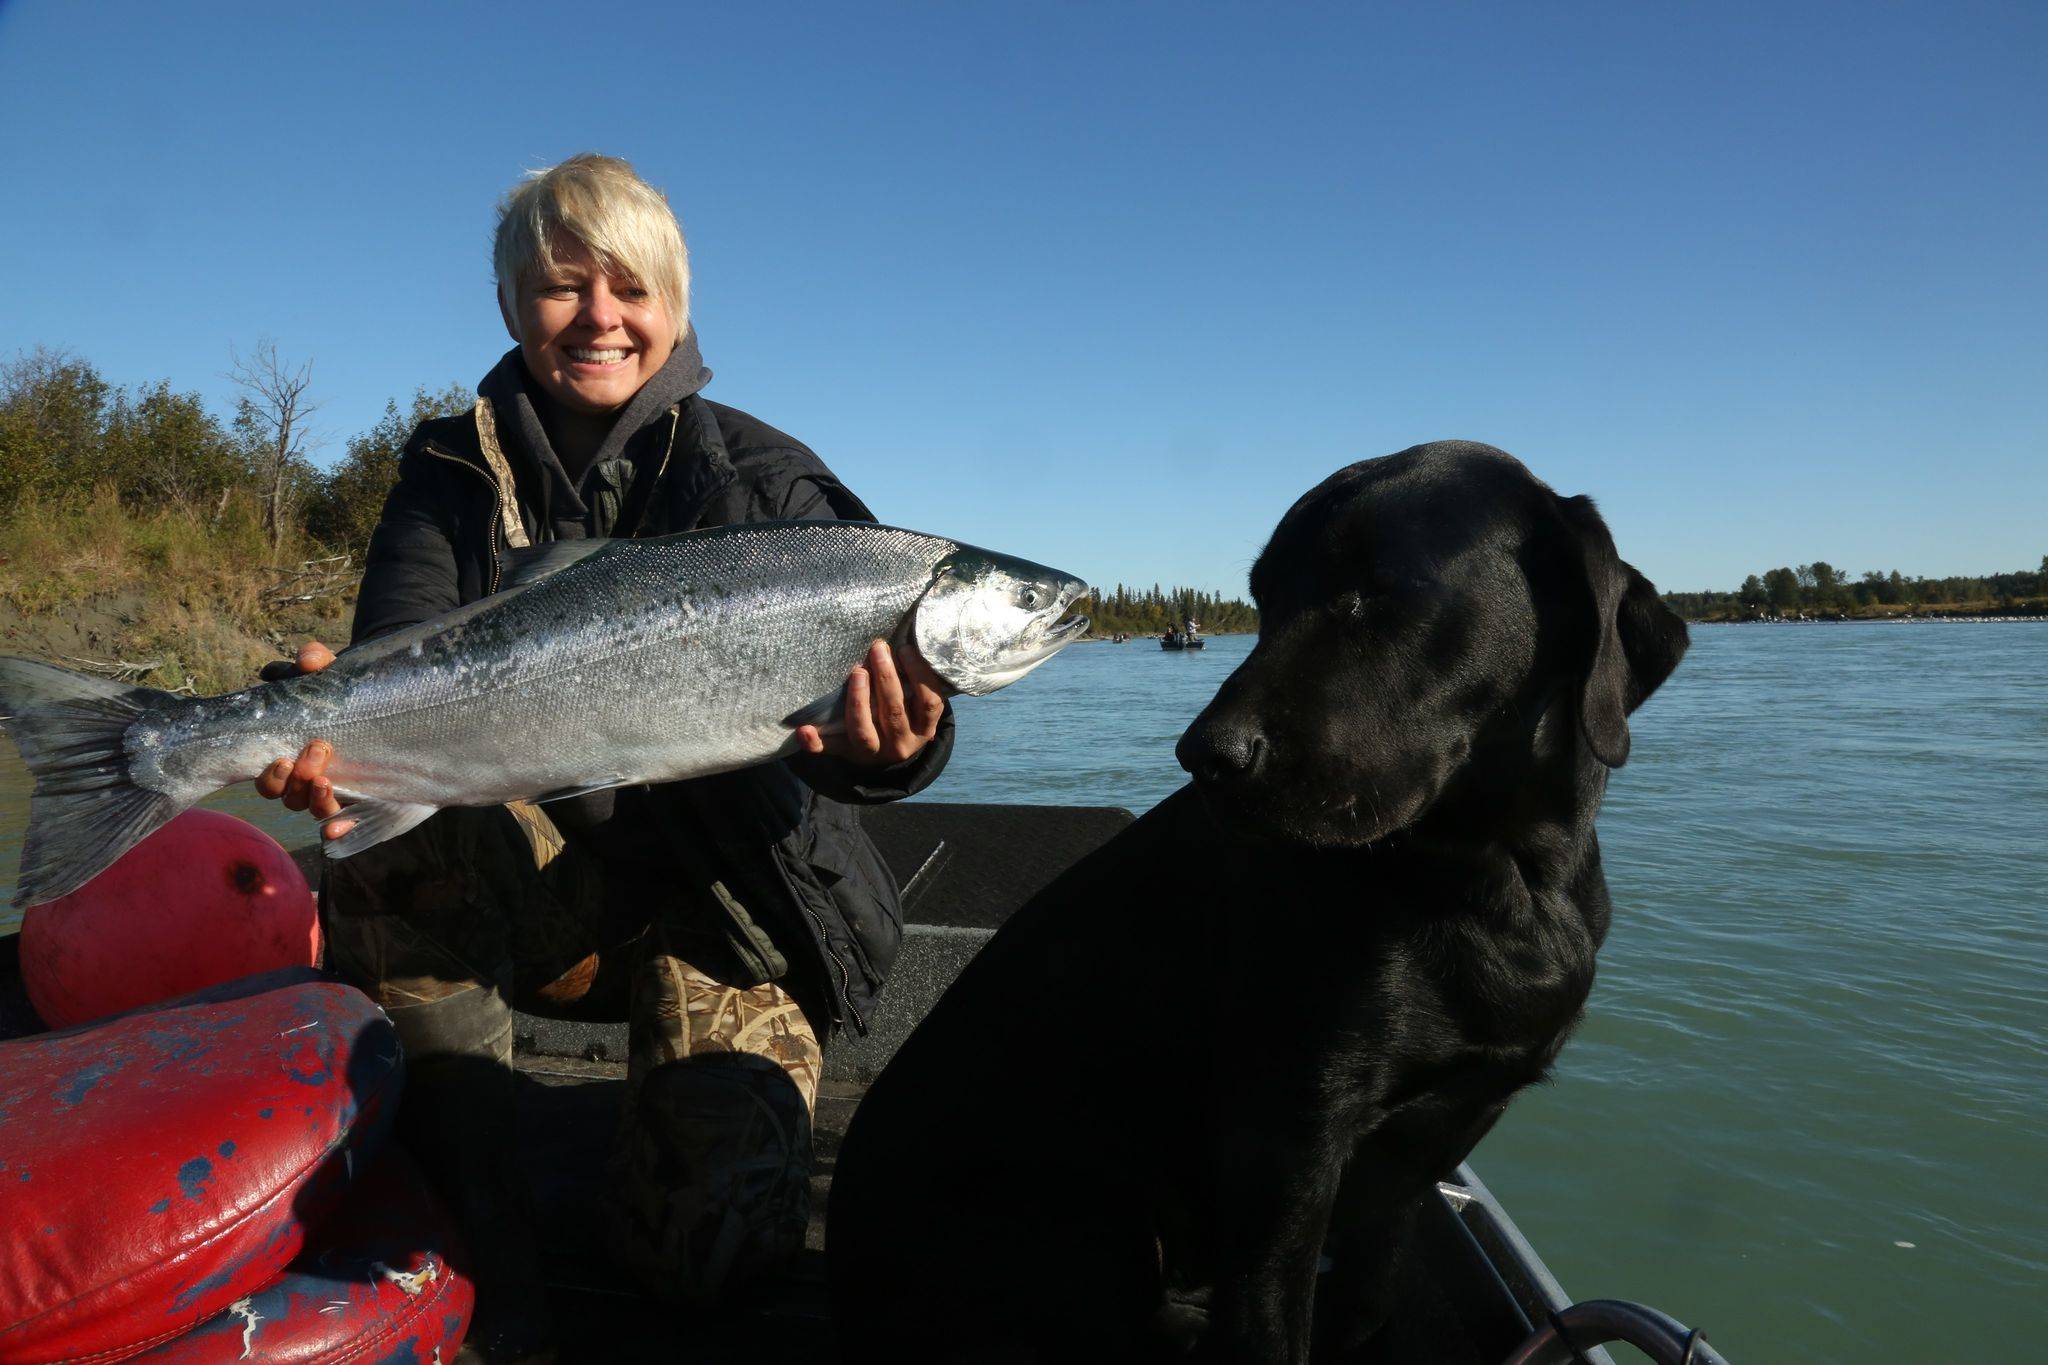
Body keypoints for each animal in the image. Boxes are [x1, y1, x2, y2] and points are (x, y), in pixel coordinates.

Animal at [823, 444, 1687, 1358]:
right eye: (1265, 601)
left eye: (1377, 591)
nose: (1204, 755)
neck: (1504, 879)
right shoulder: (1289, 1146)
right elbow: (1274, 1326)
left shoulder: (1419, 1156)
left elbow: (1367, 1302)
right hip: (1089, 1226)